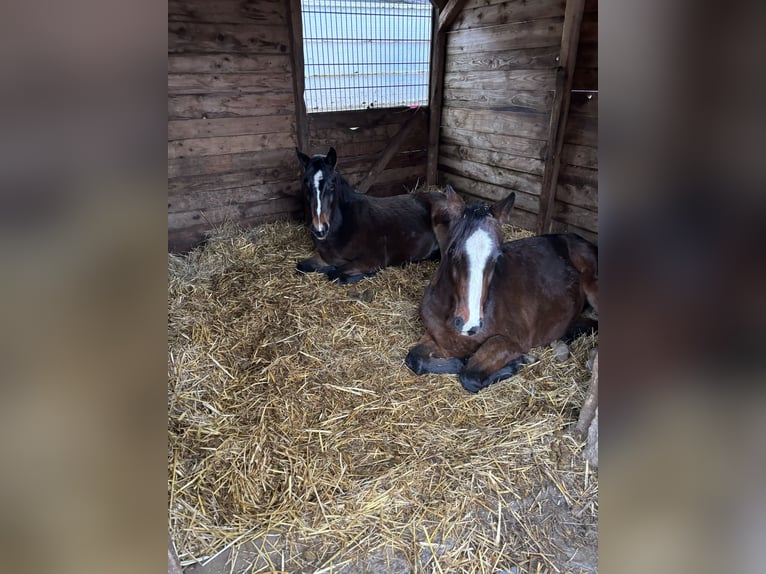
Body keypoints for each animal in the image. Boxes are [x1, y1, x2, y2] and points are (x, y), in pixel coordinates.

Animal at [296, 147, 440, 284]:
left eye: (332, 185)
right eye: (306, 184)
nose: (319, 229)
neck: (346, 226)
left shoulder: (371, 260)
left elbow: (335, 274)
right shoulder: (325, 257)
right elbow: (301, 266)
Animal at [404, 187, 596, 394]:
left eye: (496, 257)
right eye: (452, 250)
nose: (469, 324)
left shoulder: (511, 341)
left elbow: (470, 375)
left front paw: (519, 361)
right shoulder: (437, 338)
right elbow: (414, 359)